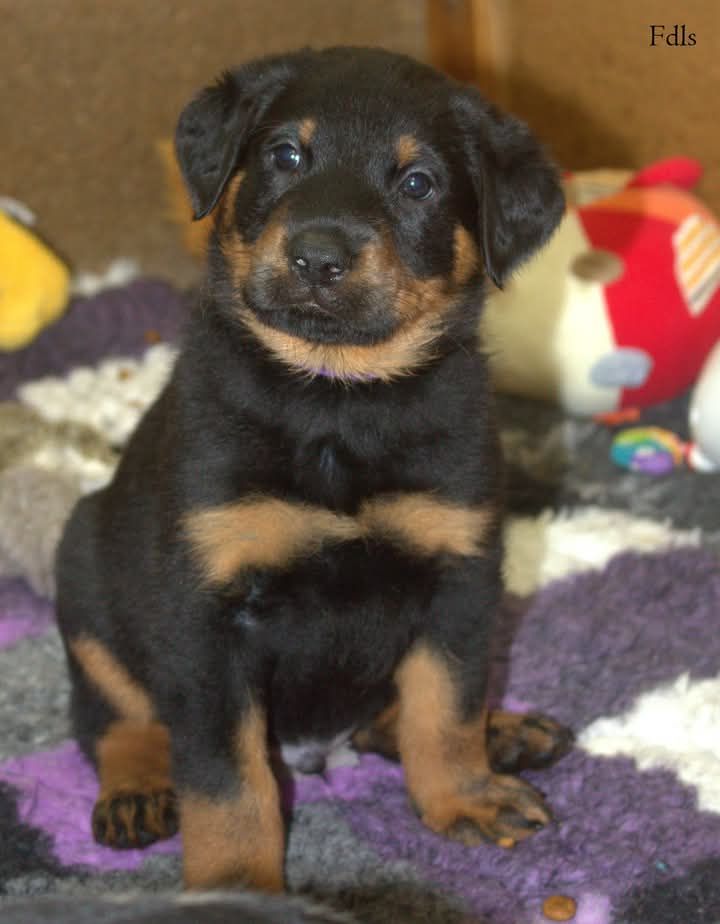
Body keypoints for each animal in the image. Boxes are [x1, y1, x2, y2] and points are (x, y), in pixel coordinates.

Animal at [56, 47, 572, 892]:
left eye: (417, 183)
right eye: (285, 156)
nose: (318, 256)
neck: (335, 400)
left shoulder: (460, 571)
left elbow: (446, 704)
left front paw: (464, 797)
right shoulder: (207, 614)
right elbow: (228, 781)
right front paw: (238, 887)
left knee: (393, 716)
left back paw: (508, 734)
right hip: (86, 572)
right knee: (114, 714)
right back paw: (136, 790)